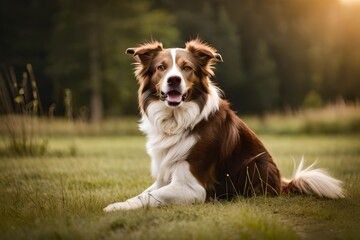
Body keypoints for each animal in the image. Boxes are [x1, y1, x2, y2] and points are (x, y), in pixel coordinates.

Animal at [103, 38, 344, 211]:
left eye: (187, 68)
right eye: (162, 67)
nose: (174, 80)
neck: (177, 120)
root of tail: (282, 183)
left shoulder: (191, 187)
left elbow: (150, 196)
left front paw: (115, 207)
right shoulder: (165, 175)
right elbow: (143, 194)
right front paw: (121, 204)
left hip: (254, 164)